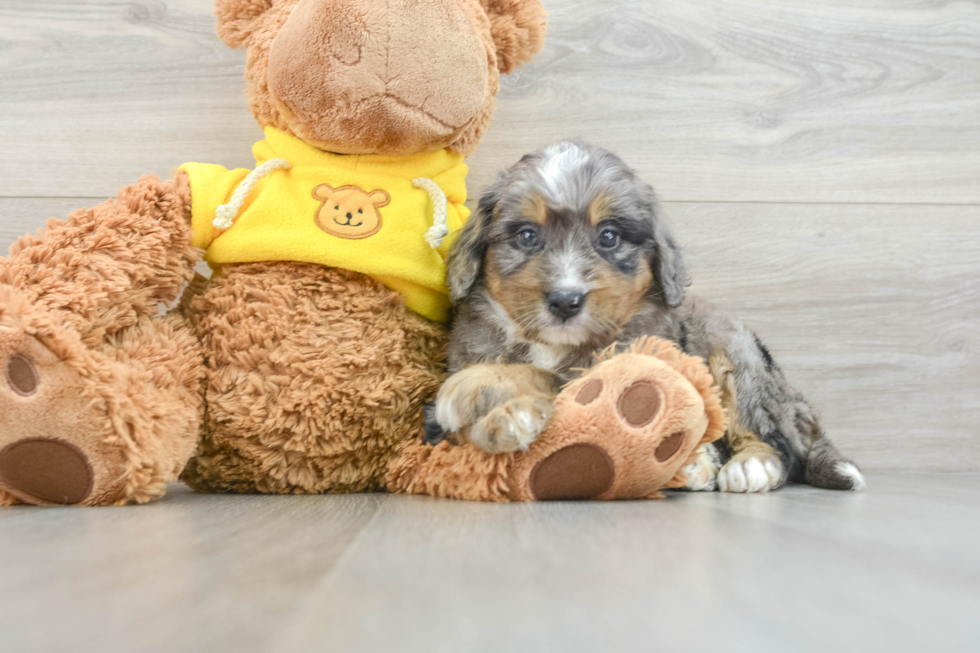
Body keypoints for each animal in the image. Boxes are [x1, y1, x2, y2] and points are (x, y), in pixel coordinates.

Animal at [428, 140, 864, 492]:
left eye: (609, 236)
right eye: (527, 236)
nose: (566, 301)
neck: (552, 344)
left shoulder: (632, 360)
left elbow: (557, 380)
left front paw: (490, 395)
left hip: (737, 358)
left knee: (776, 442)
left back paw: (749, 466)